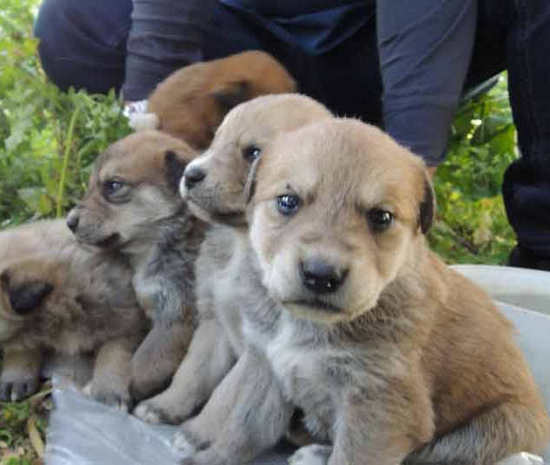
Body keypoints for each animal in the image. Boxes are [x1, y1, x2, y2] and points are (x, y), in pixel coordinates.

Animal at [133, 94, 332, 424]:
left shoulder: (260, 344)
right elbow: (192, 372)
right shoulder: (214, 322)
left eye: (254, 152)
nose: (189, 174)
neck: (242, 247)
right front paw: (164, 406)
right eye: (216, 139)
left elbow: (227, 398)